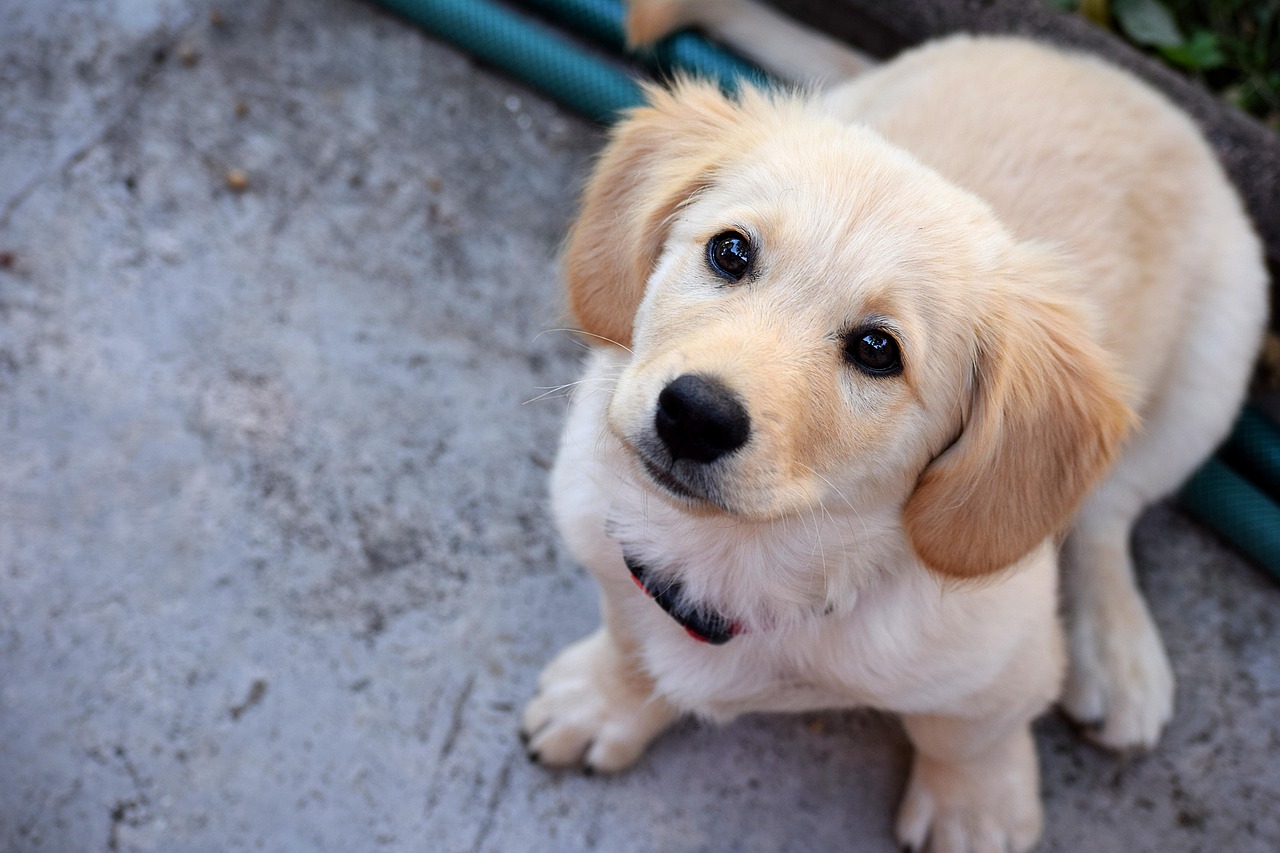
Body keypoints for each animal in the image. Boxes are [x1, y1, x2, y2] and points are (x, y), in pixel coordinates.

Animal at [519, 3, 1269, 845]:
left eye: (878, 350)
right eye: (730, 251)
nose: (694, 414)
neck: (750, 557)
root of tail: (1105, 72)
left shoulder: (998, 662)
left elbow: (969, 732)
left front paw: (974, 808)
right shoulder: (605, 542)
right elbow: (628, 633)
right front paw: (605, 699)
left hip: (1214, 365)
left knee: (1109, 510)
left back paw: (1116, 648)